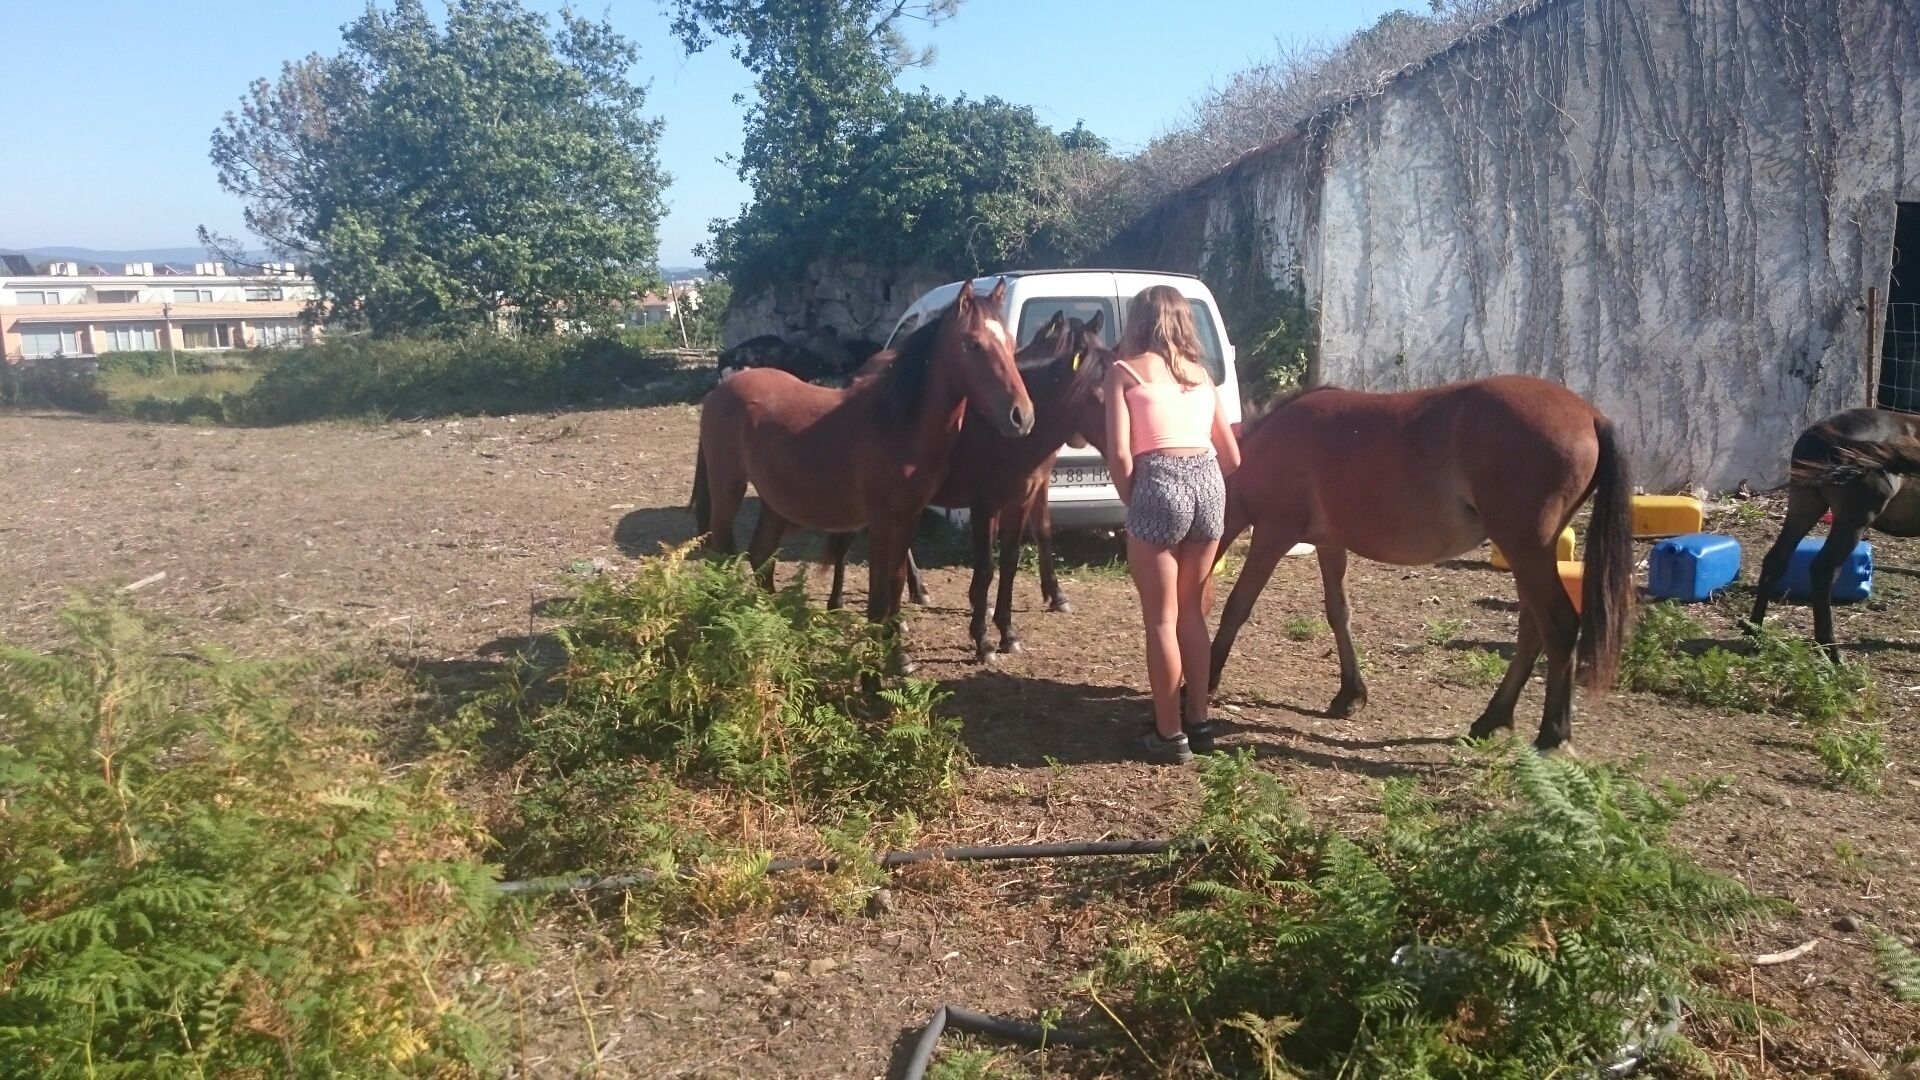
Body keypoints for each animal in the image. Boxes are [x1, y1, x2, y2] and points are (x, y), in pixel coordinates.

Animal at [687, 276, 1029, 626]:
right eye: (974, 345)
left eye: (1010, 344)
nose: (1022, 416)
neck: (897, 424)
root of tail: (721, 389)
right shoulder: (880, 519)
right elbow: (878, 595)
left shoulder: (908, 517)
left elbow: (894, 582)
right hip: (729, 488)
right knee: (719, 552)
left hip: (775, 502)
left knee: (759, 556)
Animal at [821, 311, 1121, 657]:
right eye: (1097, 397)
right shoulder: (985, 505)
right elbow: (986, 567)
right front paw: (982, 638)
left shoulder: (1021, 499)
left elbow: (1011, 562)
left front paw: (1008, 632)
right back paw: (838, 603)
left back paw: (914, 594)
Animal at [1205, 376, 1628, 749]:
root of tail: (1591, 415)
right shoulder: (1330, 545)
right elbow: (1339, 613)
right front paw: (1350, 694)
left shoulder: (1272, 536)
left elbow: (1238, 607)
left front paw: (1209, 677)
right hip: (1528, 554)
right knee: (1532, 629)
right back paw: (1491, 719)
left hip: (1527, 549)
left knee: (1558, 625)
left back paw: (1552, 734)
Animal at [1751, 405, 1920, 653]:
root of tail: (1821, 433)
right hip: (1853, 521)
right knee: (1823, 570)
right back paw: (1831, 648)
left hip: (1805, 506)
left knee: (1776, 560)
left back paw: (1753, 630)